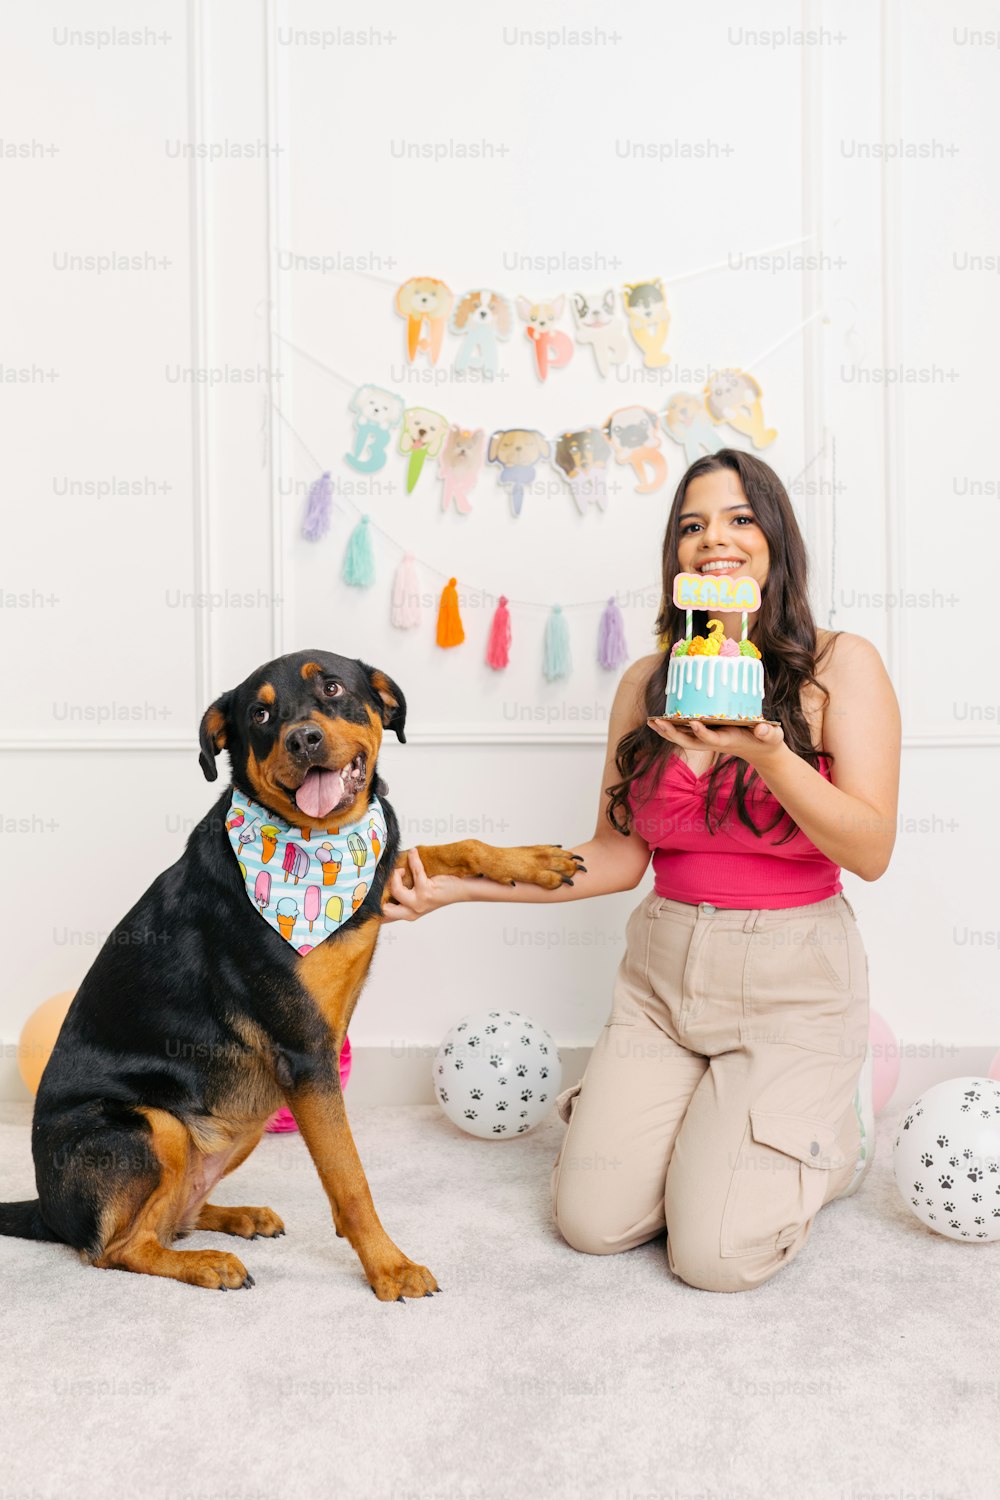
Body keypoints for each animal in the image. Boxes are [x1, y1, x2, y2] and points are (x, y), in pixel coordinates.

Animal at [0, 651, 581, 1296]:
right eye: (259, 714)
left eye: (332, 687)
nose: (303, 738)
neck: (319, 838)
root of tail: (47, 1211)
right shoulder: (305, 1057)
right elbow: (349, 1176)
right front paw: (390, 1267)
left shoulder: (377, 885)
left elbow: (450, 848)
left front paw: (534, 861)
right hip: (155, 1125)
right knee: (118, 1247)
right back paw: (207, 1263)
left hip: (243, 1116)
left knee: (175, 1217)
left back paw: (237, 1217)